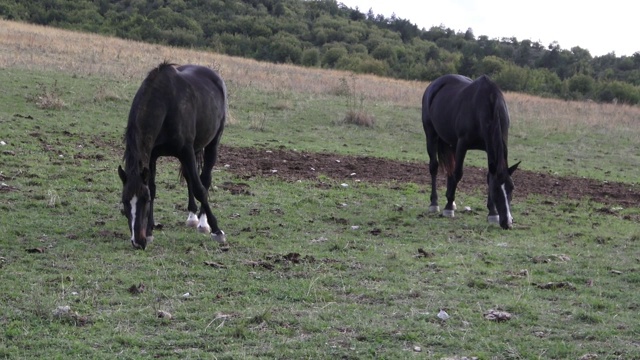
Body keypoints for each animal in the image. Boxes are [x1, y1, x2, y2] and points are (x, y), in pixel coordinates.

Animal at [117, 61, 228, 248]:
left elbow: (200, 189)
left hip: (212, 143)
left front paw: (217, 230)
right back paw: (192, 216)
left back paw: (203, 222)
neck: (165, 105)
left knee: (204, 179)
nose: (138, 242)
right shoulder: (153, 156)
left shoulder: (186, 151)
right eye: (125, 201)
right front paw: (149, 231)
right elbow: (154, 187)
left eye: (145, 200)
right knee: (190, 178)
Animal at [420, 74, 520, 229]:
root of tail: (434, 84)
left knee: (450, 170)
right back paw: (435, 203)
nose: (507, 223)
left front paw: (492, 213)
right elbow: (458, 173)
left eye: (512, 187)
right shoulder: (463, 144)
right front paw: (448, 208)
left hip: (452, 143)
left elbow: (488, 176)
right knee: (434, 167)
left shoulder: (489, 148)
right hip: (431, 135)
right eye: (496, 189)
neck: (488, 105)